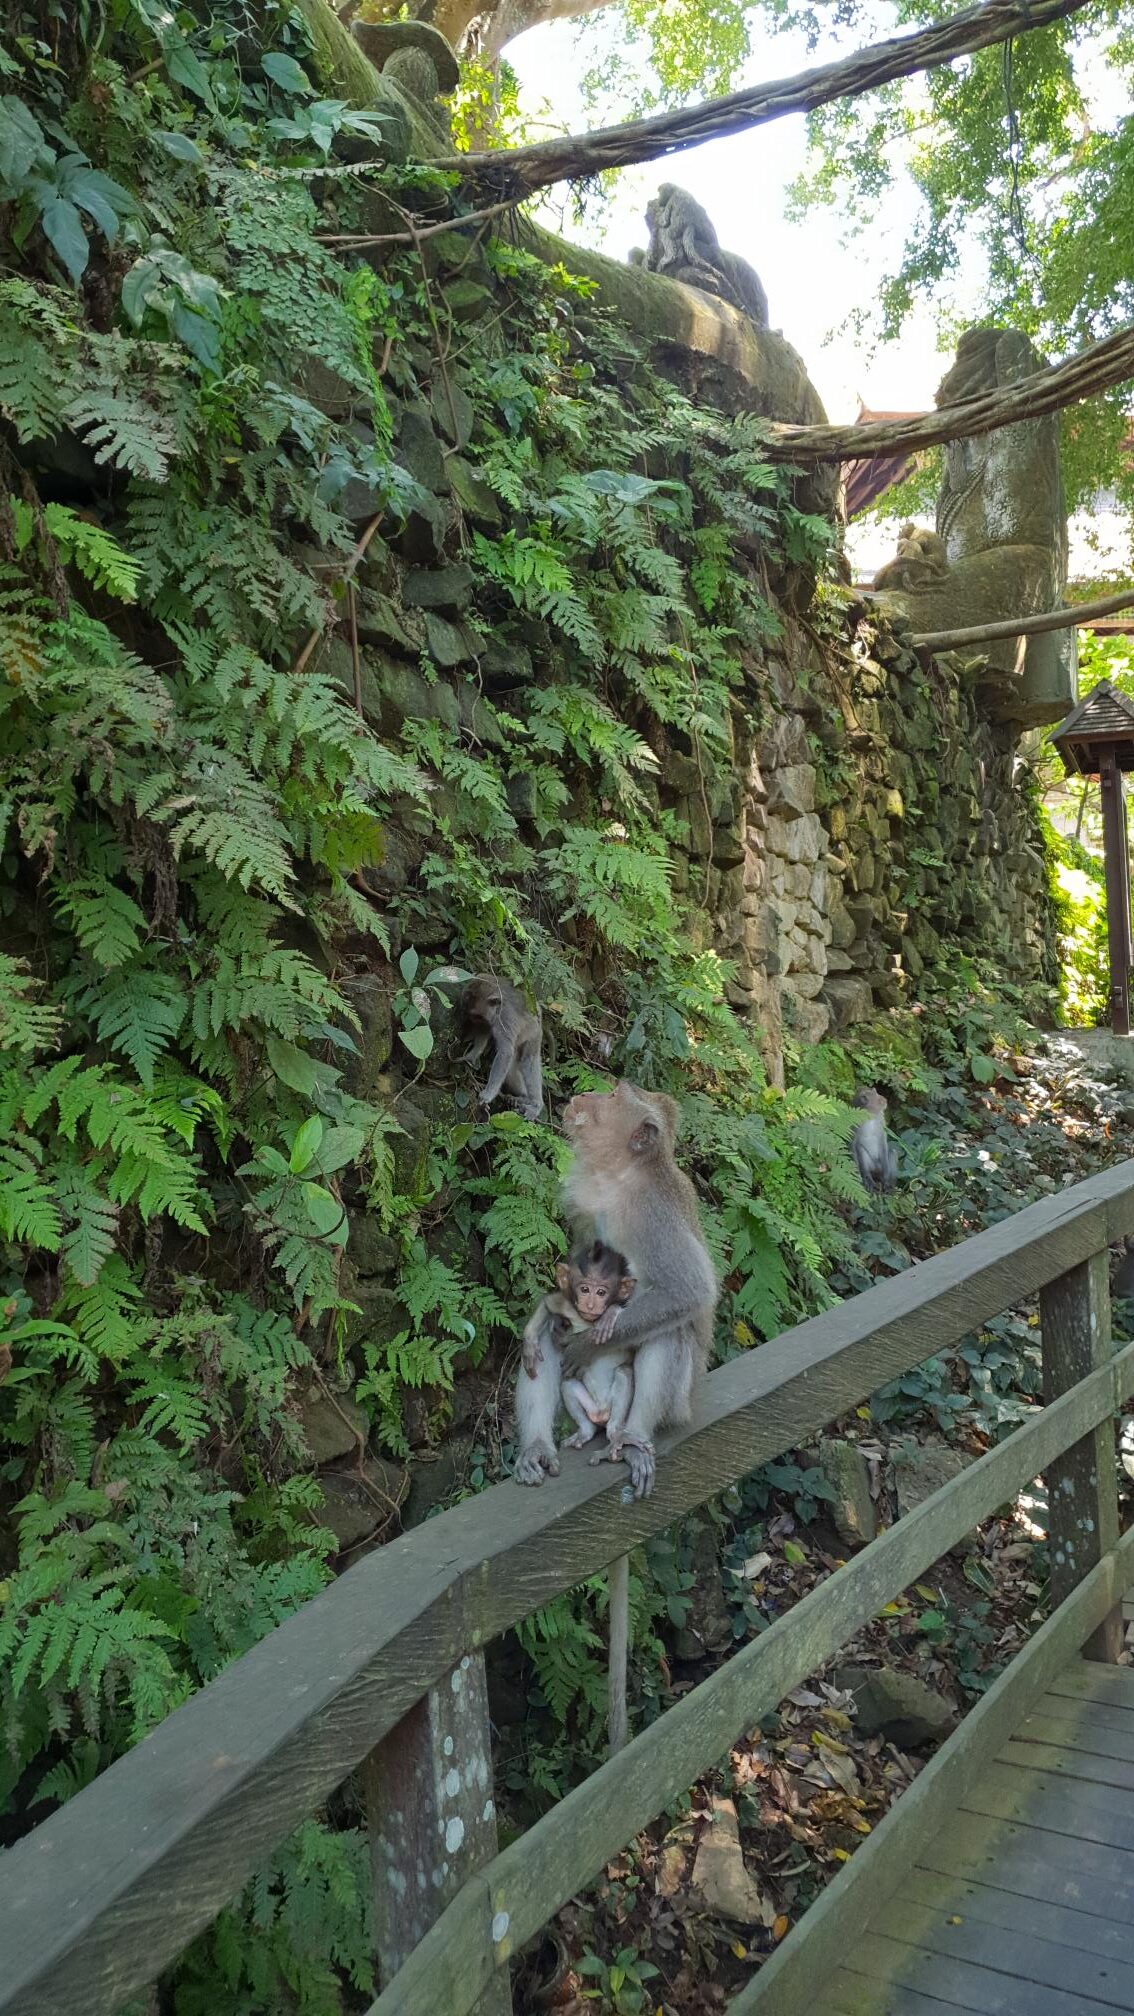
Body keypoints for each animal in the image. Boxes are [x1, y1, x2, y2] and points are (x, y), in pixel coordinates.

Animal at [458, 975, 543, 1122]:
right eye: (471, 1015)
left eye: (475, 1015)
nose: (471, 1021)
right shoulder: (488, 1019)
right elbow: (485, 1030)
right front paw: (472, 1056)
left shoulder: (504, 1018)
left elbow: (505, 1053)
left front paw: (488, 1094)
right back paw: (522, 1098)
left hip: (534, 1033)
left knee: (528, 1061)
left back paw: (535, 1105)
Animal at [521, 1240, 638, 1452]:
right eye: (584, 1289)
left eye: (601, 1292)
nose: (590, 1305)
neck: (588, 1321)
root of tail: (601, 1412)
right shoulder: (568, 1307)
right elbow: (548, 1303)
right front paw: (530, 1342)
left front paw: (611, 1313)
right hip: (589, 1406)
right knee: (567, 1384)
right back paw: (585, 1431)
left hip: (612, 1407)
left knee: (624, 1373)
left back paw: (616, 1432)